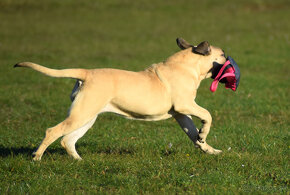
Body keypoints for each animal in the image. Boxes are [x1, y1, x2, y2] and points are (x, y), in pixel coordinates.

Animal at [14, 38, 227, 160]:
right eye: (223, 54)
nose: (228, 57)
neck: (189, 65)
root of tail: (87, 73)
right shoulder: (185, 105)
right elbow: (207, 114)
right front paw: (204, 133)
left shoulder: (181, 114)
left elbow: (193, 134)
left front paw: (208, 147)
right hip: (81, 115)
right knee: (53, 131)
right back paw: (37, 157)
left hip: (87, 116)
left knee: (67, 140)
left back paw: (79, 161)